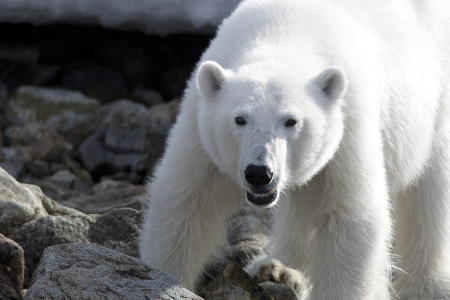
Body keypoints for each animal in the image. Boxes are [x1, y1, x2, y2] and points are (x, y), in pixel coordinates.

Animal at [139, 0, 450, 298]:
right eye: (240, 119)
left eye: (291, 121)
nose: (259, 173)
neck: (282, 34)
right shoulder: (200, 124)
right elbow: (186, 200)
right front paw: (162, 274)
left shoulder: (346, 125)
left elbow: (349, 215)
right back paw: (275, 267)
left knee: (429, 191)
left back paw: (424, 287)